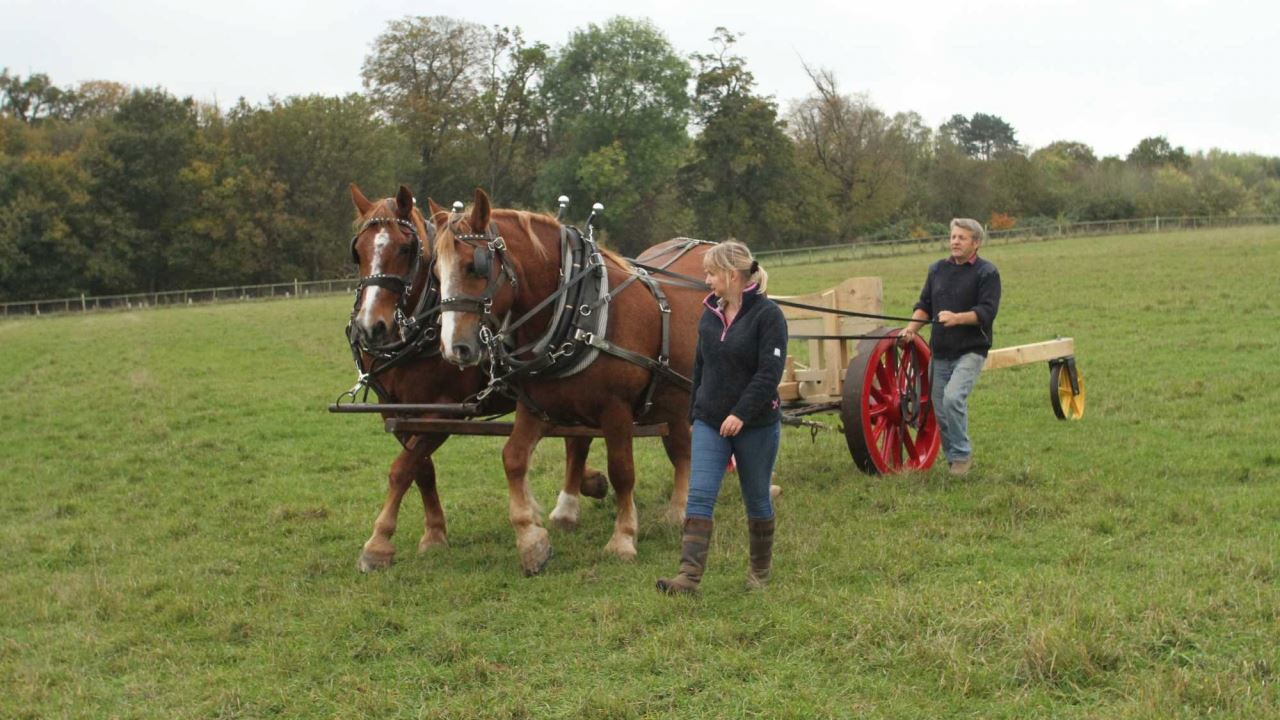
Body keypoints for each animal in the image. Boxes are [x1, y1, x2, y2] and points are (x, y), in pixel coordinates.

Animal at [345, 183, 604, 571]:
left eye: (405, 249)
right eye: (358, 252)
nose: (370, 328)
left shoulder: (444, 411)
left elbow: (401, 469)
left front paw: (378, 544)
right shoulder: (399, 413)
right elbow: (421, 469)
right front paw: (434, 533)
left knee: (578, 438)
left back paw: (569, 504)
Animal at [432, 189, 711, 571]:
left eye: (475, 266)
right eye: (435, 272)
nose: (452, 348)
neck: (577, 309)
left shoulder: (616, 409)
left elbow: (622, 471)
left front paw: (623, 538)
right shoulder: (536, 407)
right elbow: (513, 458)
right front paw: (531, 539)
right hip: (674, 399)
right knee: (682, 448)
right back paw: (679, 510)